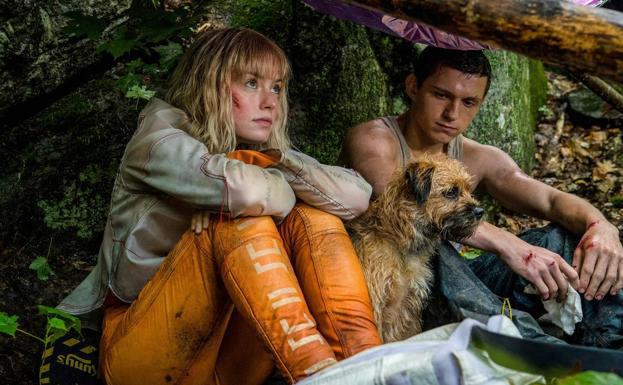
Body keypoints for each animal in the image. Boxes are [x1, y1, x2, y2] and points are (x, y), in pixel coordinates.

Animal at [348, 154, 486, 340]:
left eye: (468, 190)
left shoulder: (410, 308)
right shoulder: (376, 302)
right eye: (451, 192)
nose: (480, 212)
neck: (399, 241)